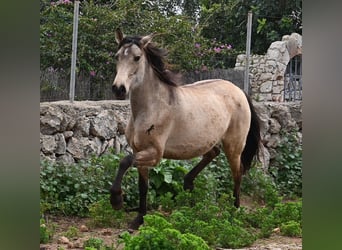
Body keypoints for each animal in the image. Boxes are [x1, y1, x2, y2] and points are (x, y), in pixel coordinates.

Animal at [111, 28, 260, 229]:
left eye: (137, 57)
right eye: (117, 56)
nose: (118, 89)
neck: (151, 108)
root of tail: (240, 91)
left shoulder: (155, 154)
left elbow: (124, 161)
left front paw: (116, 200)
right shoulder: (139, 151)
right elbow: (143, 186)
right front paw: (139, 219)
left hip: (234, 146)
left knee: (237, 173)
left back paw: (234, 211)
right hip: (206, 140)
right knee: (213, 154)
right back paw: (188, 184)